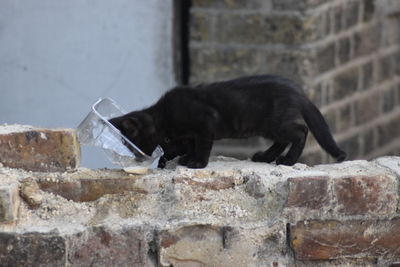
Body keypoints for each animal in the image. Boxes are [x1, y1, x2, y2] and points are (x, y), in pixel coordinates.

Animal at [110, 74, 346, 169]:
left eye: (130, 143)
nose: (135, 157)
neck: (163, 118)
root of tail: (298, 91)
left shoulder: (206, 123)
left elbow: (203, 145)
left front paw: (198, 163)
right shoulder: (186, 137)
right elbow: (187, 145)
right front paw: (185, 158)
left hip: (276, 123)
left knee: (300, 132)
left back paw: (287, 160)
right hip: (268, 127)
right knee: (282, 140)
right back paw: (265, 156)